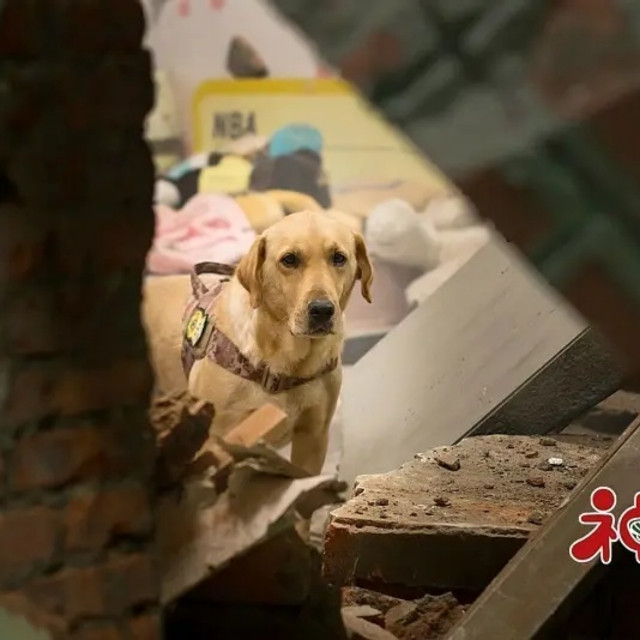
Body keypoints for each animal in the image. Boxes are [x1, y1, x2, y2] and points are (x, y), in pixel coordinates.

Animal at [142, 210, 373, 477]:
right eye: (289, 259)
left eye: (339, 258)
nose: (322, 310)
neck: (286, 364)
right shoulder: (218, 440)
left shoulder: (313, 438)